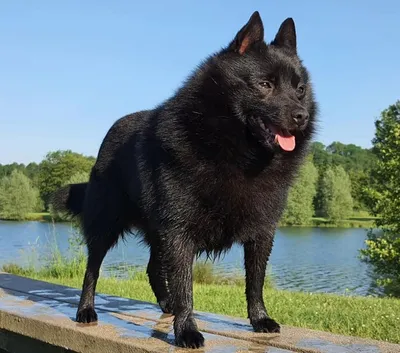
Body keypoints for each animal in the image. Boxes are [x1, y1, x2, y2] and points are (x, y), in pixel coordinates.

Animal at [51, 10, 318, 346]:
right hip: (106, 225)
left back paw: (167, 305)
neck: (235, 153)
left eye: (300, 89)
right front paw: (187, 329)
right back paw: (86, 310)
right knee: (92, 269)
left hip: (155, 231)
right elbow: (186, 285)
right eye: (265, 84)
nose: (301, 116)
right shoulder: (179, 232)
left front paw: (259, 319)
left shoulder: (261, 232)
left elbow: (254, 282)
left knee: (153, 268)